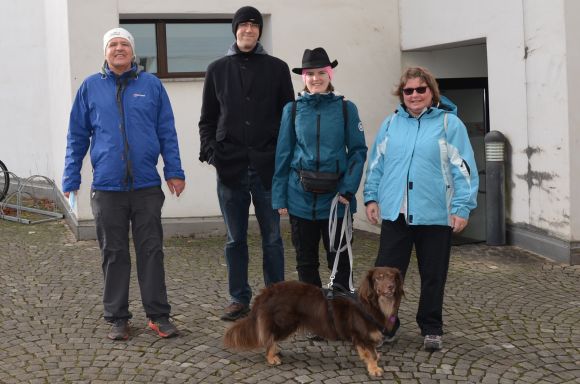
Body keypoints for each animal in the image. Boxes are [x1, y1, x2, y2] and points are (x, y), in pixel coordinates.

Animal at [222, 268, 404, 376]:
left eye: (393, 277)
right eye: (379, 278)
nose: (390, 287)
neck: (373, 305)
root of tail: (268, 291)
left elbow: (370, 352)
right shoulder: (362, 335)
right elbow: (371, 353)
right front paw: (374, 368)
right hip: (285, 323)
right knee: (269, 337)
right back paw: (272, 357)